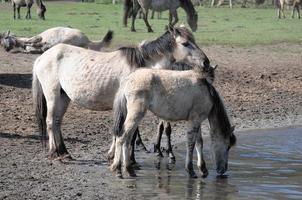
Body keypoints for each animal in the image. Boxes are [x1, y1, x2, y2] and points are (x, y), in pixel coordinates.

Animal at [31, 26, 210, 159]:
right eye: (185, 43)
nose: (206, 62)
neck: (140, 67)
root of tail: (42, 57)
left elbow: (127, 132)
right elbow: (126, 132)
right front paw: (124, 158)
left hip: (64, 97)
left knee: (57, 121)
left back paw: (64, 152)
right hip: (52, 95)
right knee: (49, 121)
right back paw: (54, 152)